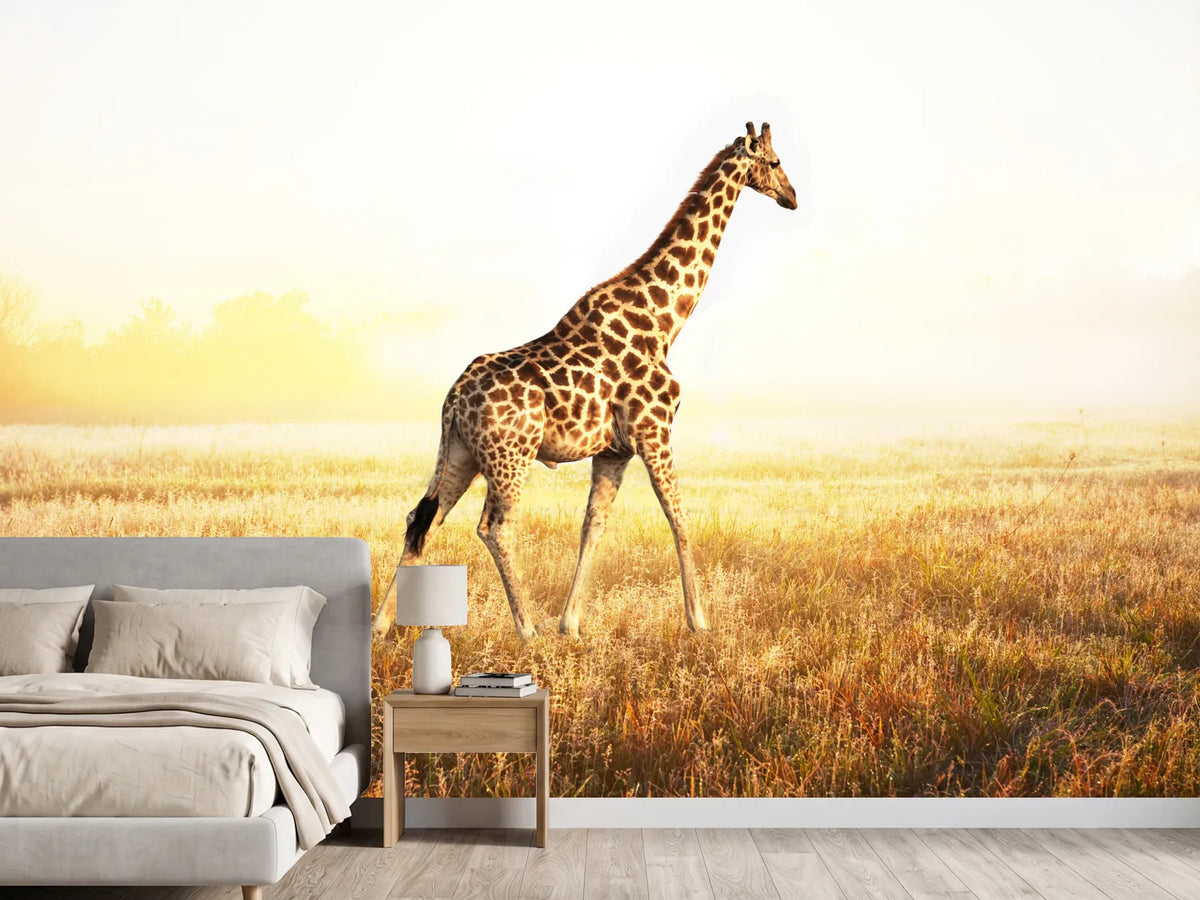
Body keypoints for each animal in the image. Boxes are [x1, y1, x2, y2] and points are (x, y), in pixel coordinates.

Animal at [374, 122, 797, 640]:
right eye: (776, 162)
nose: (792, 197)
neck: (665, 320)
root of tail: (453, 399)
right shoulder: (655, 431)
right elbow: (678, 517)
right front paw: (700, 621)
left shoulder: (614, 450)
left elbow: (593, 525)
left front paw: (571, 624)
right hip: (510, 456)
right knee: (494, 527)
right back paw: (526, 630)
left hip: (461, 453)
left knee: (422, 519)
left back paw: (379, 626)